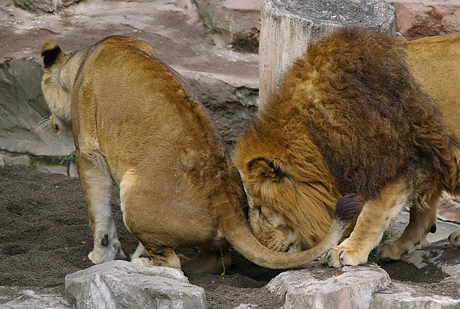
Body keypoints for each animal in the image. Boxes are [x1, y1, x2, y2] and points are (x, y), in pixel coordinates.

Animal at [40, 35, 362, 274]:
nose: (51, 121)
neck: (81, 62)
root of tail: (227, 206)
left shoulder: (88, 152)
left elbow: (98, 213)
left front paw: (102, 255)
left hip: (133, 195)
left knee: (171, 264)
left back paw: (141, 262)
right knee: (216, 259)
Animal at [235, 27, 460, 266]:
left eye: (260, 209)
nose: (264, 246)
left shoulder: (397, 162)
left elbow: (372, 214)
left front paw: (348, 250)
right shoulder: (430, 157)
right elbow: (421, 211)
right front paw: (401, 245)